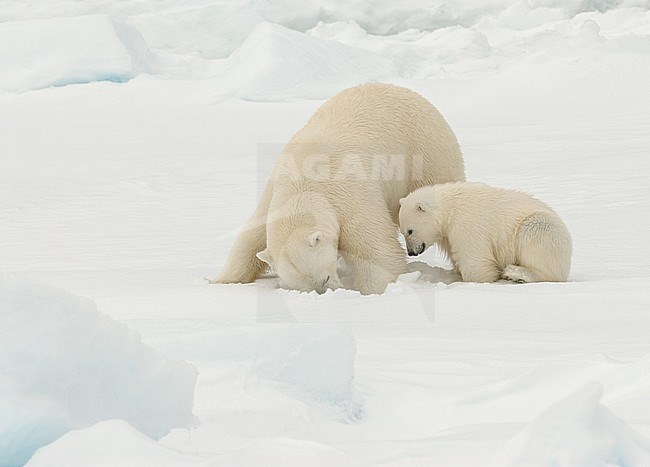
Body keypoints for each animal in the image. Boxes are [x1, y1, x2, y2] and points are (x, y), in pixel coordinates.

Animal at [215, 82, 464, 294]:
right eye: (306, 288)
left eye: (325, 277)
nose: (328, 292)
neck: (304, 180)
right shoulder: (273, 195)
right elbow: (250, 238)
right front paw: (222, 281)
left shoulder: (348, 197)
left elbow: (374, 249)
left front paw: (379, 289)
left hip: (426, 151)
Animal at [398, 182, 568, 286]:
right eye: (402, 231)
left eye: (410, 231)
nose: (411, 252)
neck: (450, 208)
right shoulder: (448, 234)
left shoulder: (467, 225)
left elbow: (474, 261)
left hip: (539, 227)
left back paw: (515, 273)